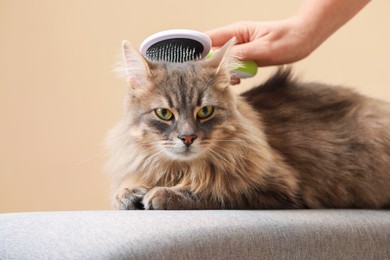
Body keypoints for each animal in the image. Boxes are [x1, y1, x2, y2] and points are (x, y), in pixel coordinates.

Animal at [106, 38, 390, 209]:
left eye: (205, 111)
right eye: (164, 114)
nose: (187, 138)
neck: (183, 168)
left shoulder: (279, 190)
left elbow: (215, 191)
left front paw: (164, 194)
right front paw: (129, 193)